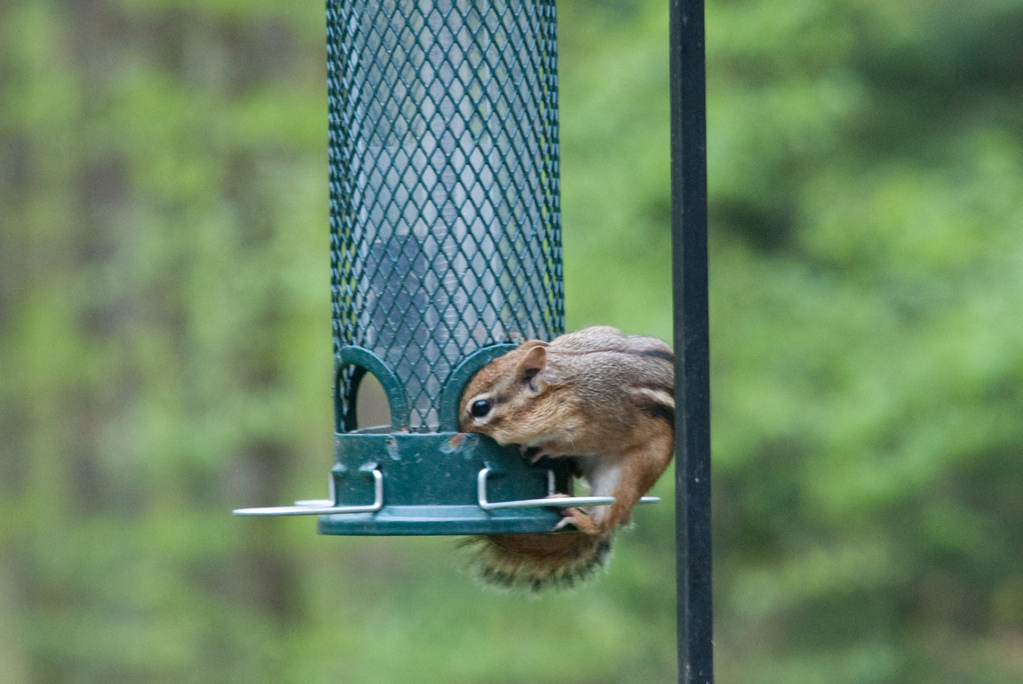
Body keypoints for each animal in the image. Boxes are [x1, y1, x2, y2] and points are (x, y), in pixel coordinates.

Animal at [458, 326, 675, 591]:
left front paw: (545, 447)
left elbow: (580, 443)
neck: (566, 385)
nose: (459, 429)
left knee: (604, 522)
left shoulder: (605, 423)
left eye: (480, 407)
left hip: (630, 471)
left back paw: (575, 513)